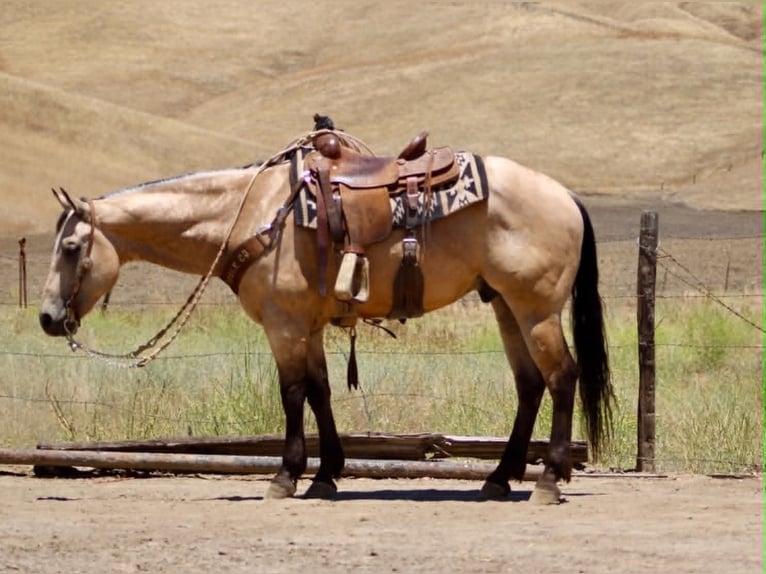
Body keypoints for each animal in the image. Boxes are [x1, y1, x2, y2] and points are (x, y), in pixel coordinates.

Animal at [39, 131, 614, 503]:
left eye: (70, 247)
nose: (47, 318)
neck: (251, 215)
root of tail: (564, 195)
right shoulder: (306, 326)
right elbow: (320, 392)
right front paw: (326, 474)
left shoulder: (284, 325)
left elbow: (292, 394)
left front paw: (286, 476)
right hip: (507, 307)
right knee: (529, 385)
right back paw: (499, 478)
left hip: (536, 309)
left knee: (562, 378)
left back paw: (548, 481)